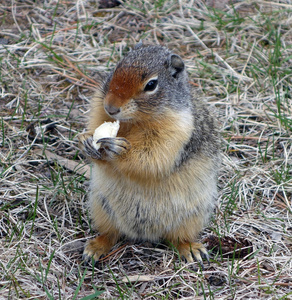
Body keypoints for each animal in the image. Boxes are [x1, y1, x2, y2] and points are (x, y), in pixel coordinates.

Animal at [78, 44, 220, 264]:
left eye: (151, 84)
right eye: (115, 69)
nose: (110, 108)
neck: (134, 121)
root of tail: (145, 235)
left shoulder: (175, 132)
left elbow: (152, 157)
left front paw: (119, 150)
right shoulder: (98, 108)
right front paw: (86, 140)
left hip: (192, 216)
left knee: (178, 238)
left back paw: (191, 249)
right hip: (101, 207)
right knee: (110, 233)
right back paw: (95, 248)